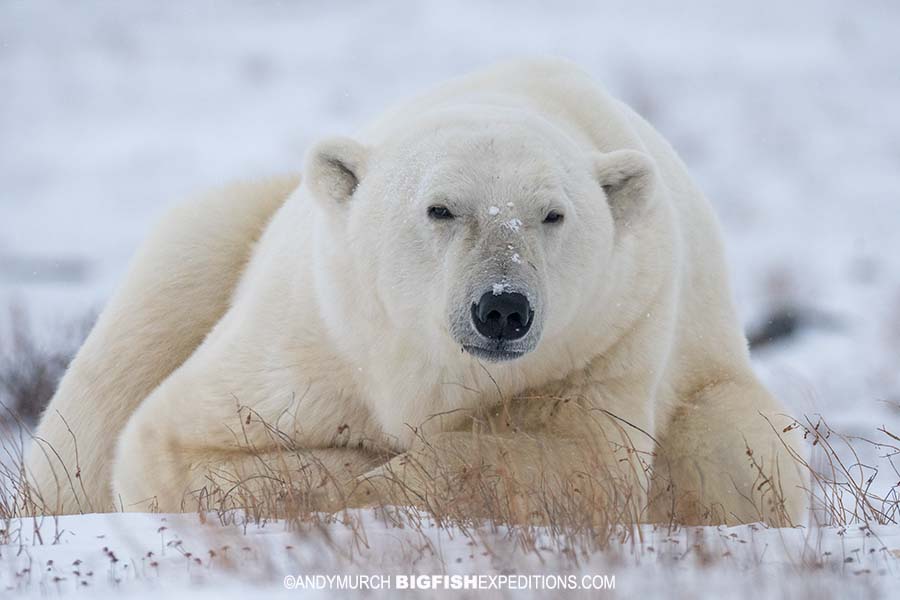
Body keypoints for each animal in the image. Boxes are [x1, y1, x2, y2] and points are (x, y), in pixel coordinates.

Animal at [25, 58, 806, 525]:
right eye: (441, 208)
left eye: (553, 215)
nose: (502, 308)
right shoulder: (317, 337)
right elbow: (173, 441)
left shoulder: (608, 338)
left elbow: (573, 462)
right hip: (212, 239)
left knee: (740, 449)